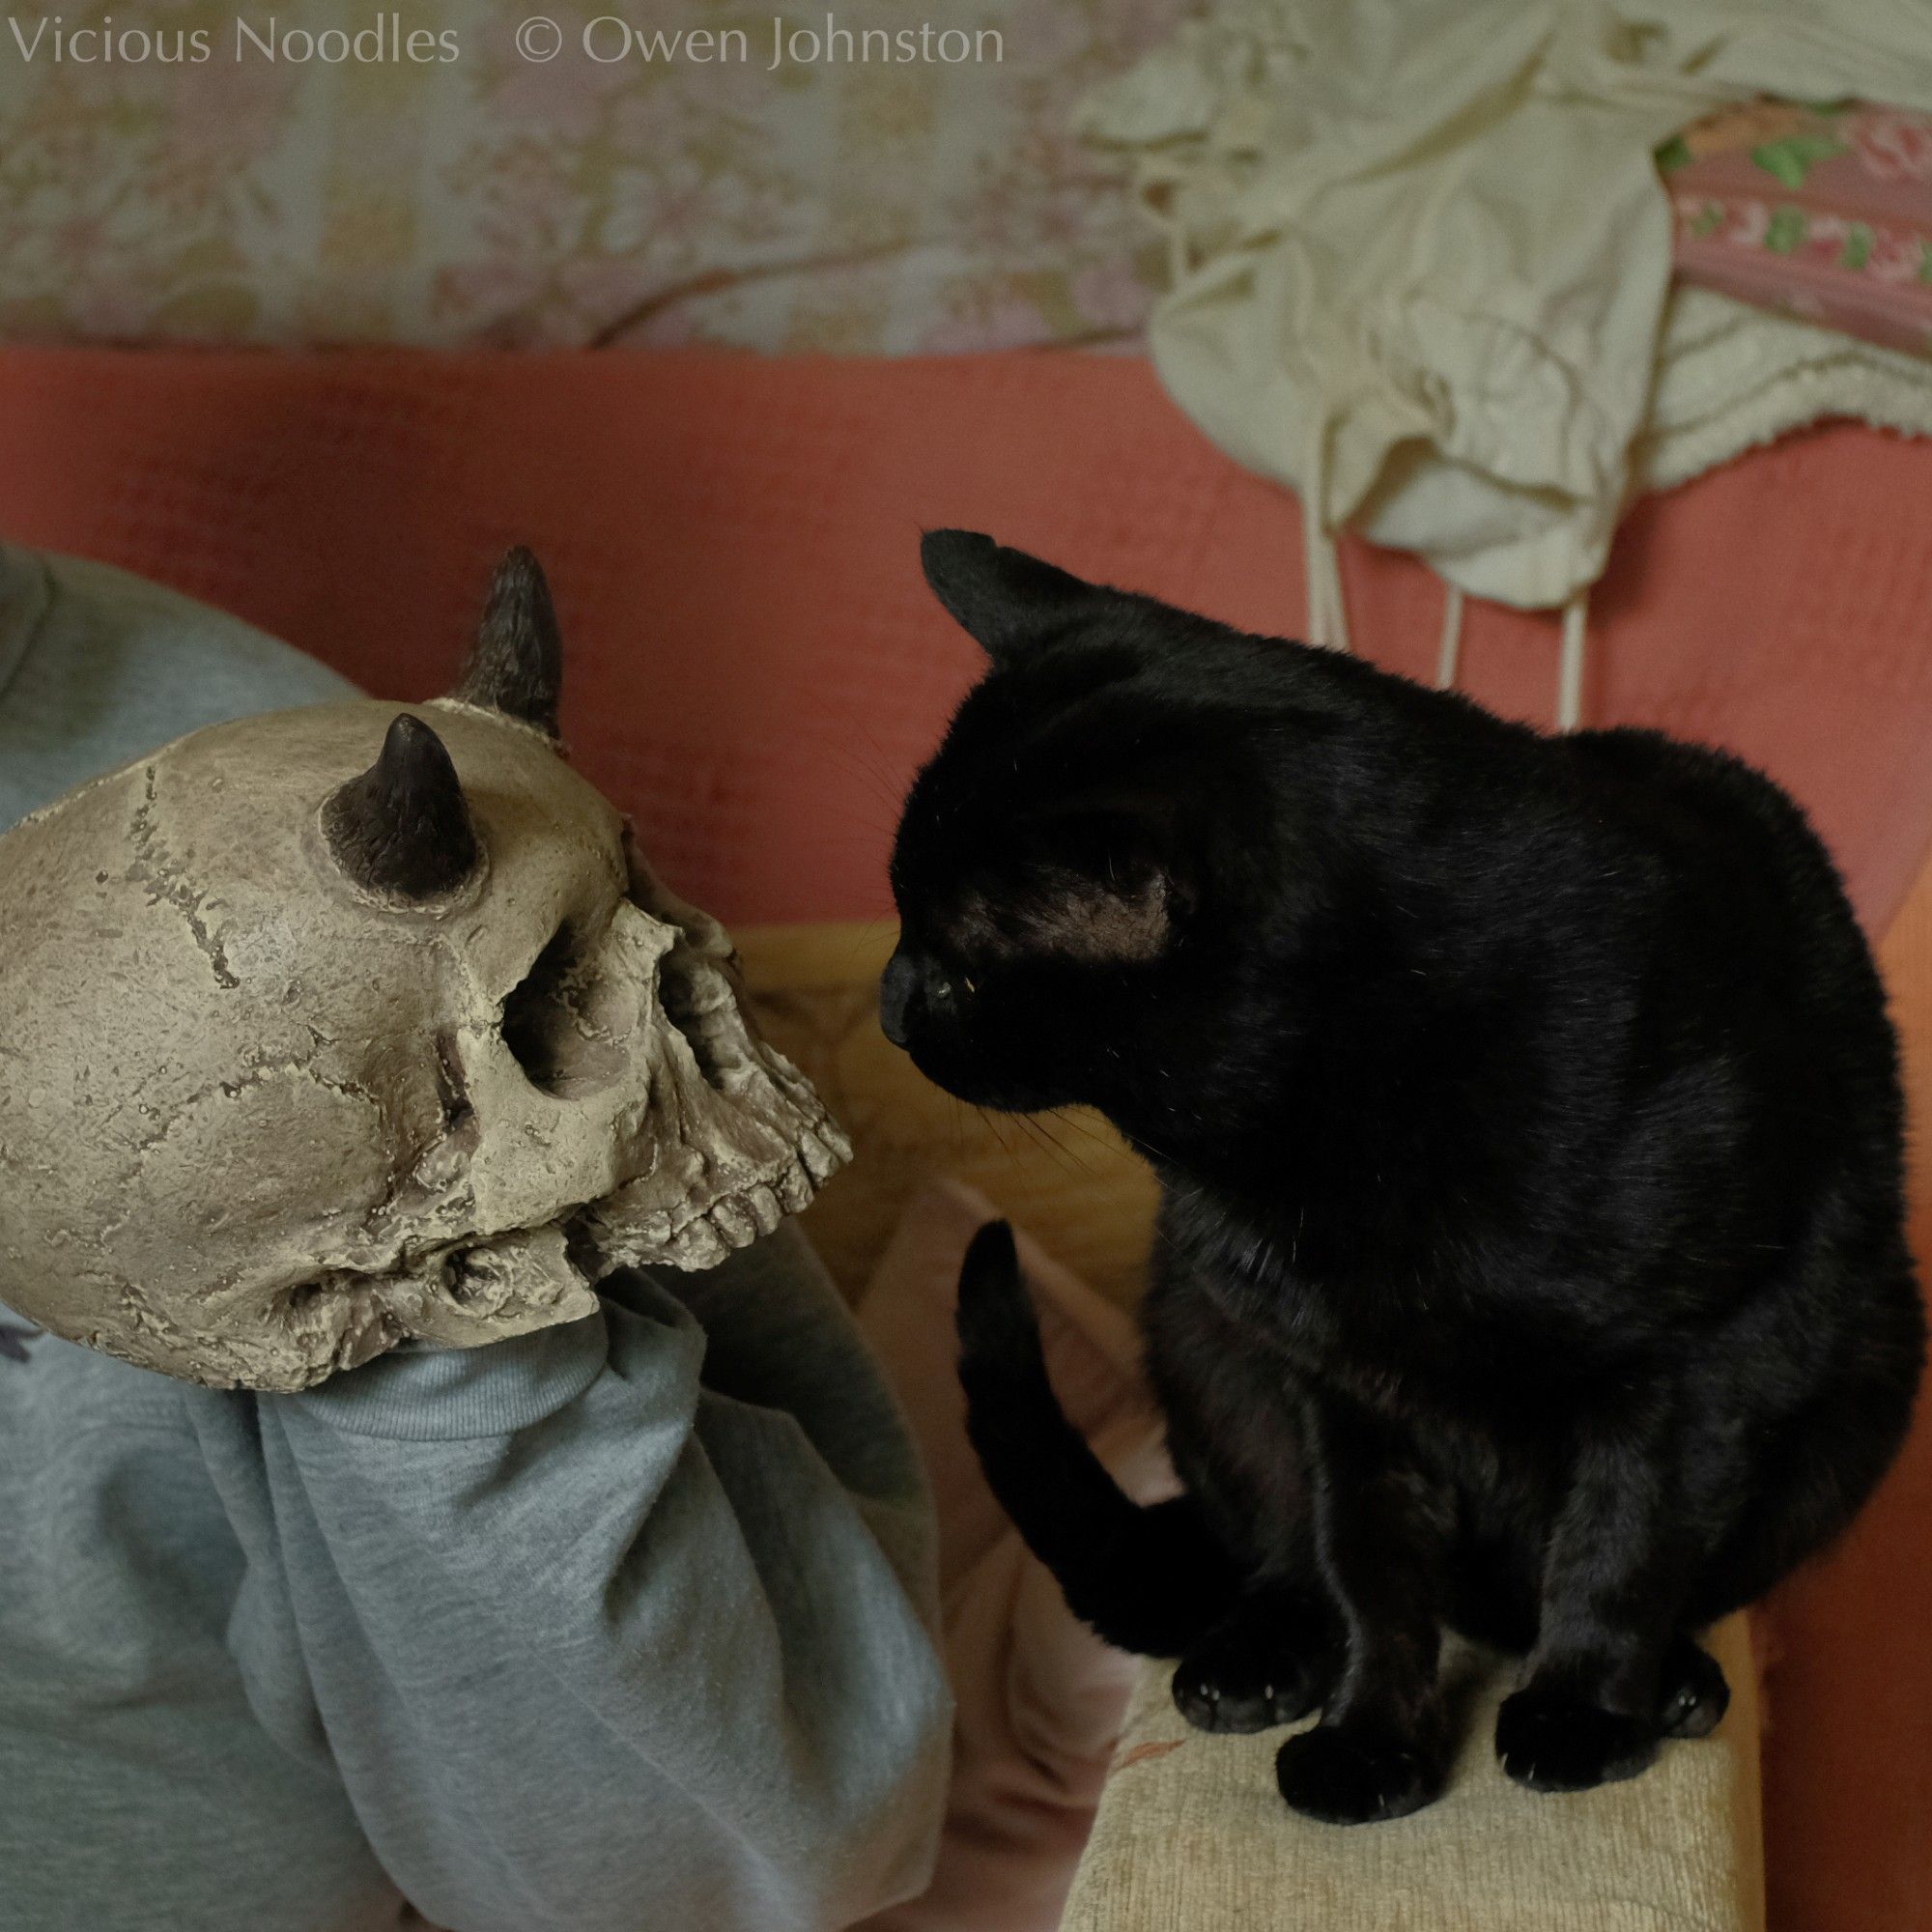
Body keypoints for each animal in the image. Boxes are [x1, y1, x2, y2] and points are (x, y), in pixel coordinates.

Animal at [885, 533, 1924, 1824]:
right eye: (900, 928)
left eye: (958, 971)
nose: (886, 999)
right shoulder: (1344, 1386)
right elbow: (1369, 1574)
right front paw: (1370, 1739)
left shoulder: (1703, 1358)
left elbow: (1620, 1550)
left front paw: (1580, 1712)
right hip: (1202, 1331)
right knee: (1281, 1551)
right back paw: (1257, 1656)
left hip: (1869, 1363)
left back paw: (1674, 1682)